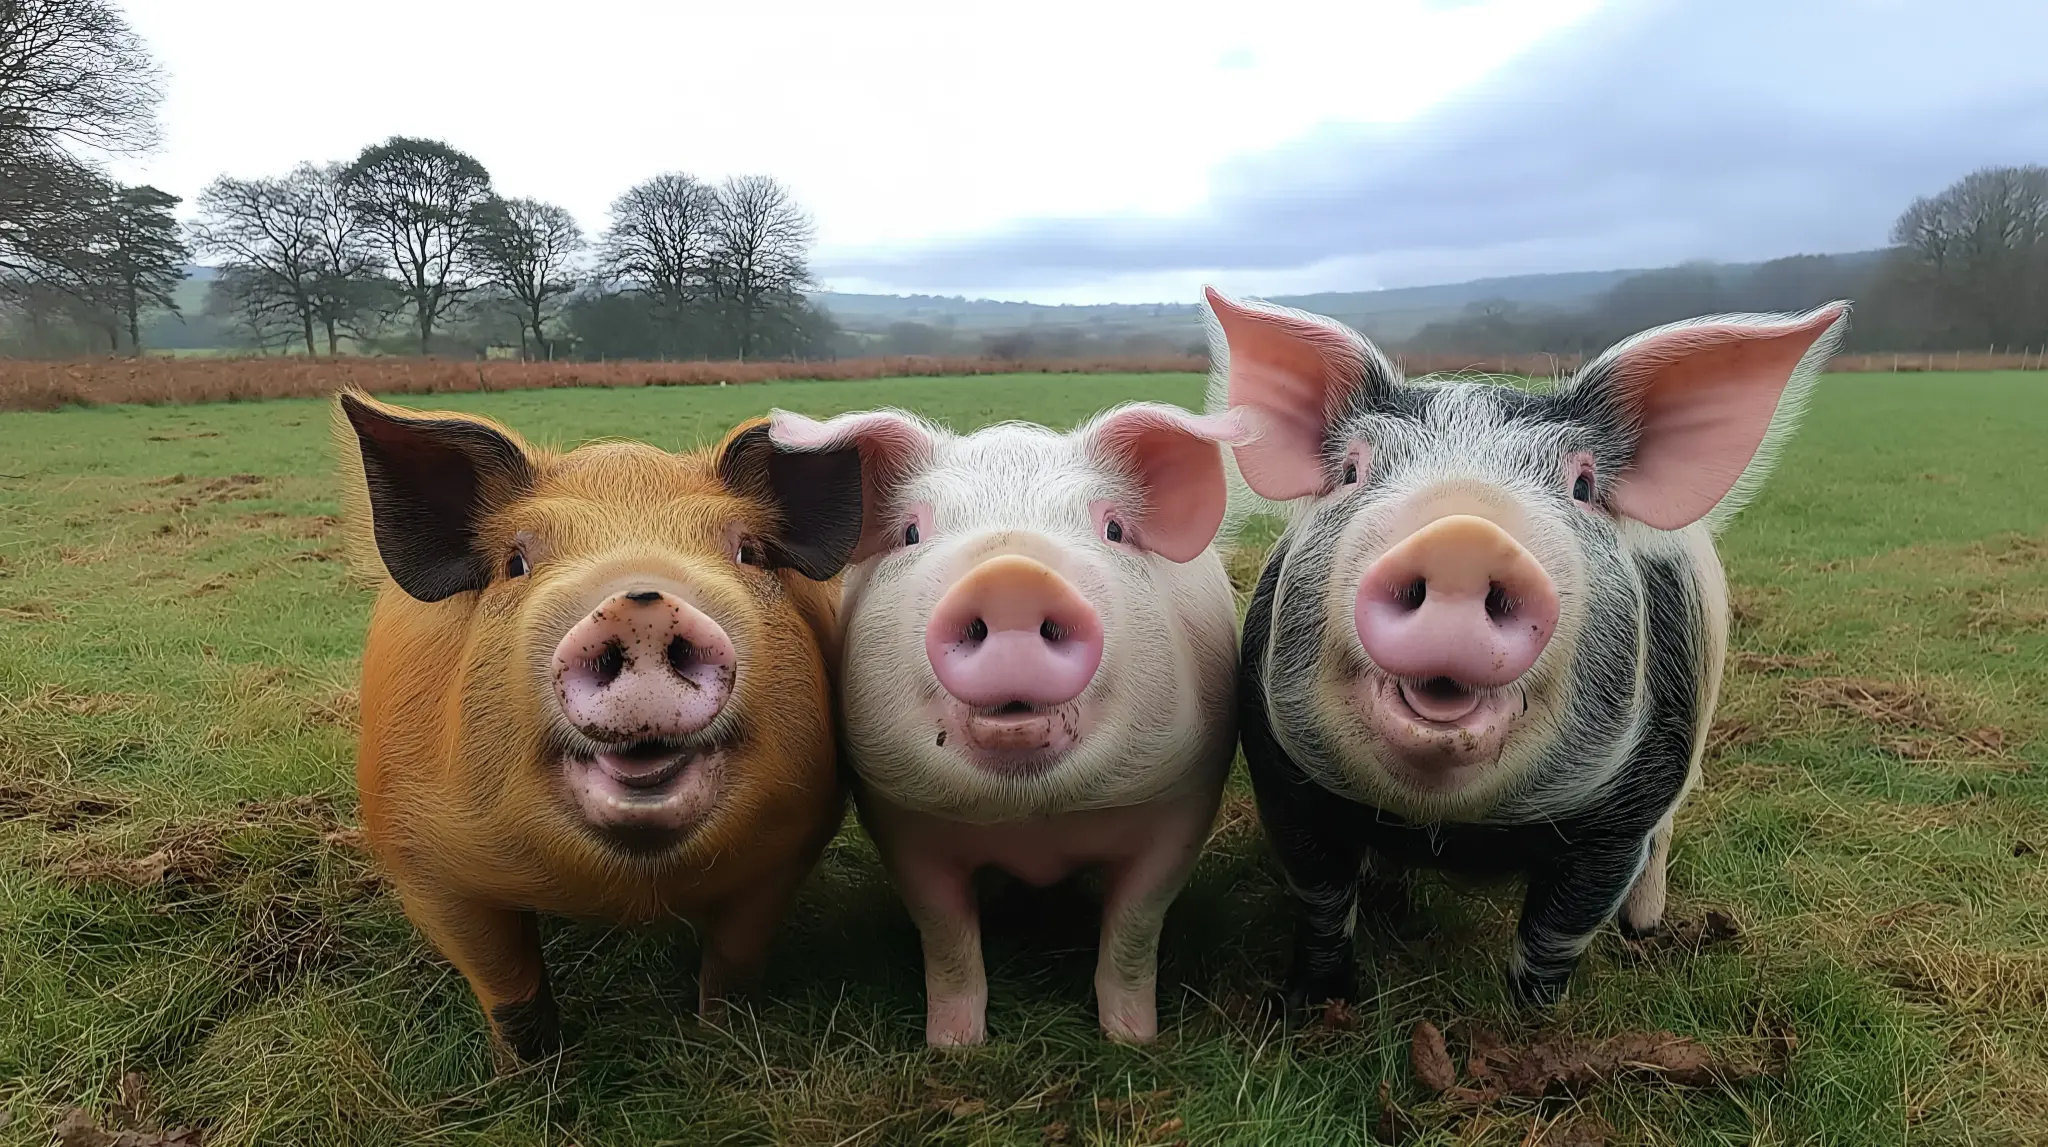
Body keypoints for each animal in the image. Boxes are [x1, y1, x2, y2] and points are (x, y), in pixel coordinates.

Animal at [334, 391, 864, 1064]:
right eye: (515, 563)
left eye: (748, 553)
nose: (642, 604)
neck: (626, 890)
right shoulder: (421, 862)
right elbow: (507, 989)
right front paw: (525, 1072)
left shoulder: (786, 852)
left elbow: (733, 966)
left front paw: (719, 1042)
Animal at [765, 402, 1250, 1046]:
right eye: (911, 532)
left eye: (1114, 529)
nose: (1012, 575)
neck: (1032, 821)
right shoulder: (900, 820)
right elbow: (946, 937)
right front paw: (954, 1048)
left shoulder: (1183, 804)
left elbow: (1133, 931)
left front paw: (1132, 1041)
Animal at [1205, 288, 1849, 1008]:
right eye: (1350, 471)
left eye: (1584, 486)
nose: (1462, 534)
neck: (1450, 829)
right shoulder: (1281, 772)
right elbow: (1321, 897)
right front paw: (1320, 1001)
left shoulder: (1627, 808)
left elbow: (1559, 929)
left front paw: (1533, 1017)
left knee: (1663, 840)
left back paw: (1645, 928)